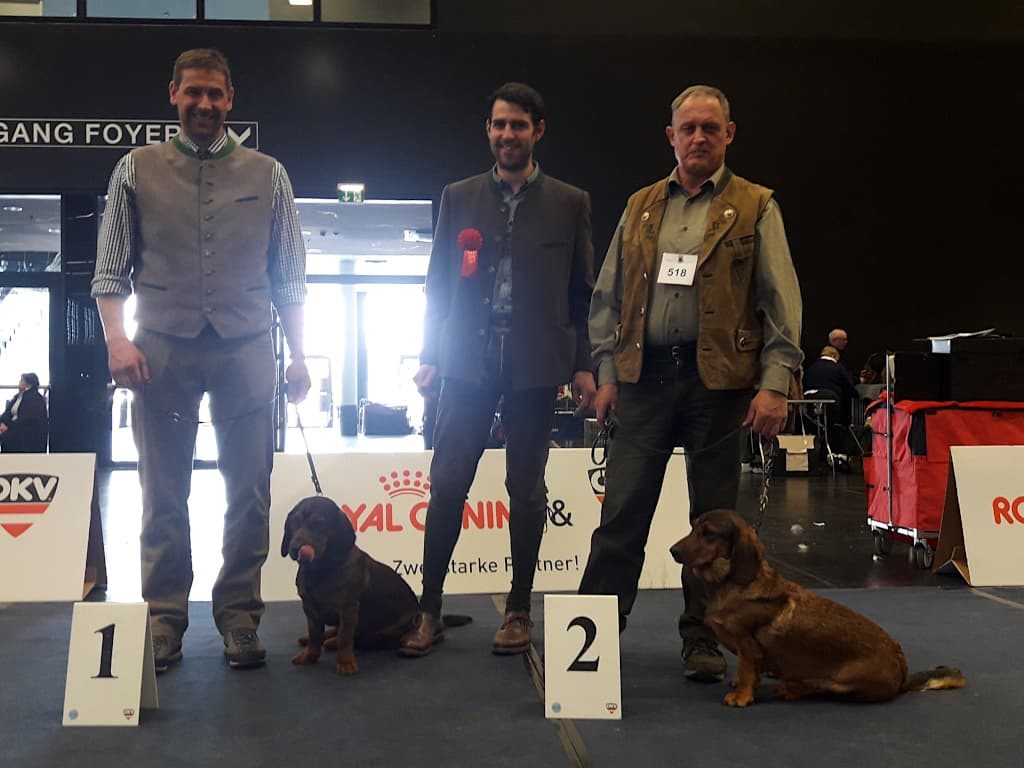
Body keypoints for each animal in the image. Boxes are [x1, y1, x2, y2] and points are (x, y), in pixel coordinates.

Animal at [280, 499, 419, 671]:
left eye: (319, 523)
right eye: (294, 523)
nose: (294, 548)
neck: (322, 571)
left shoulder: (348, 609)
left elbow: (345, 637)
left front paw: (345, 662)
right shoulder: (310, 609)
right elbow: (315, 635)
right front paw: (309, 655)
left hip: (390, 630)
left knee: (364, 638)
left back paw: (334, 641)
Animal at [667, 512, 962, 708]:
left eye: (709, 533)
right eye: (694, 528)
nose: (672, 551)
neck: (732, 583)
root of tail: (902, 673)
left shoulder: (748, 647)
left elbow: (748, 671)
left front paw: (740, 696)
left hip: (843, 680)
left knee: (823, 689)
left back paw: (792, 689)